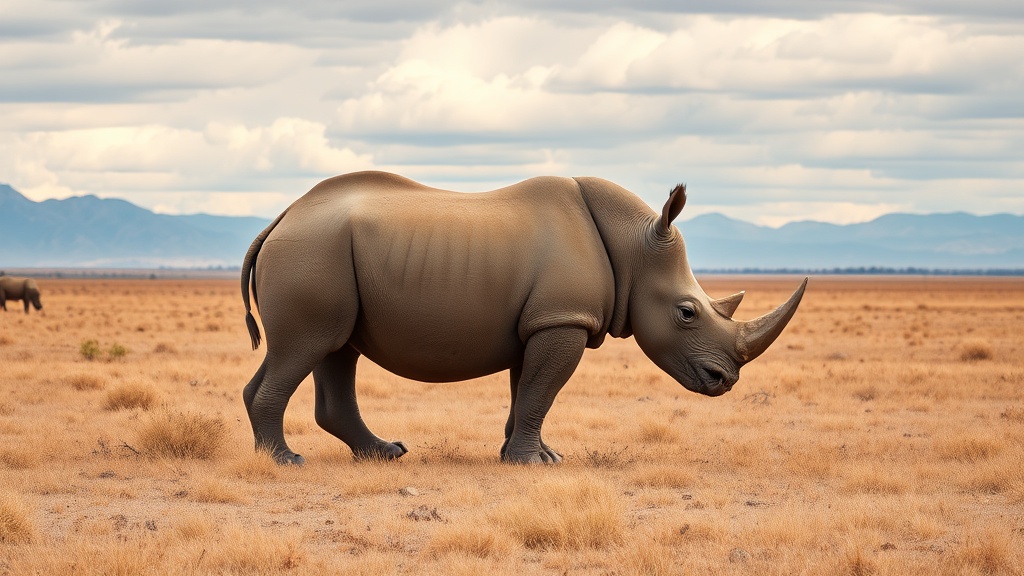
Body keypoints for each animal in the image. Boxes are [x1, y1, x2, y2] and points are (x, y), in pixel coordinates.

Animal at [241, 171, 806, 465]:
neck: (633, 247)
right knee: (310, 345)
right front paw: (533, 462)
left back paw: (386, 453)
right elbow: (543, 390)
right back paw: (286, 461)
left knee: (335, 348)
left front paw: (524, 455)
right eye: (686, 313)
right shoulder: (563, 319)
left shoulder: (542, 320)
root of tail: (281, 219)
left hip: (322, 252)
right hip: (312, 251)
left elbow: (528, 390)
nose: (724, 380)